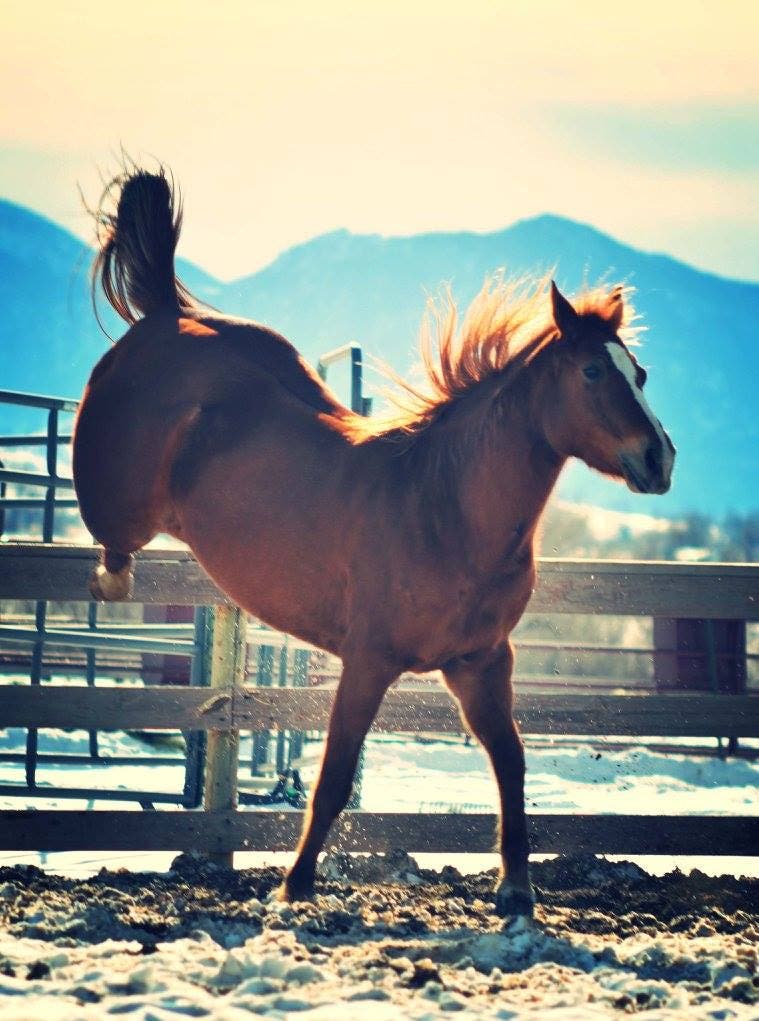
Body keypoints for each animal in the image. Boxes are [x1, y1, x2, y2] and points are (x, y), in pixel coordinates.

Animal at [73, 167, 675, 916]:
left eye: (639, 374)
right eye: (594, 372)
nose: (658, 458)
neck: (446, 509)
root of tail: (168, 316)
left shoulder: (481, 661)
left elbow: (509, 762)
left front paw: (515, 888)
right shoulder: (367, 660)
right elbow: (333, 776)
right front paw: (294, 886)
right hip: (120, 498)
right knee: (109, 541)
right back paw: (110, 581)